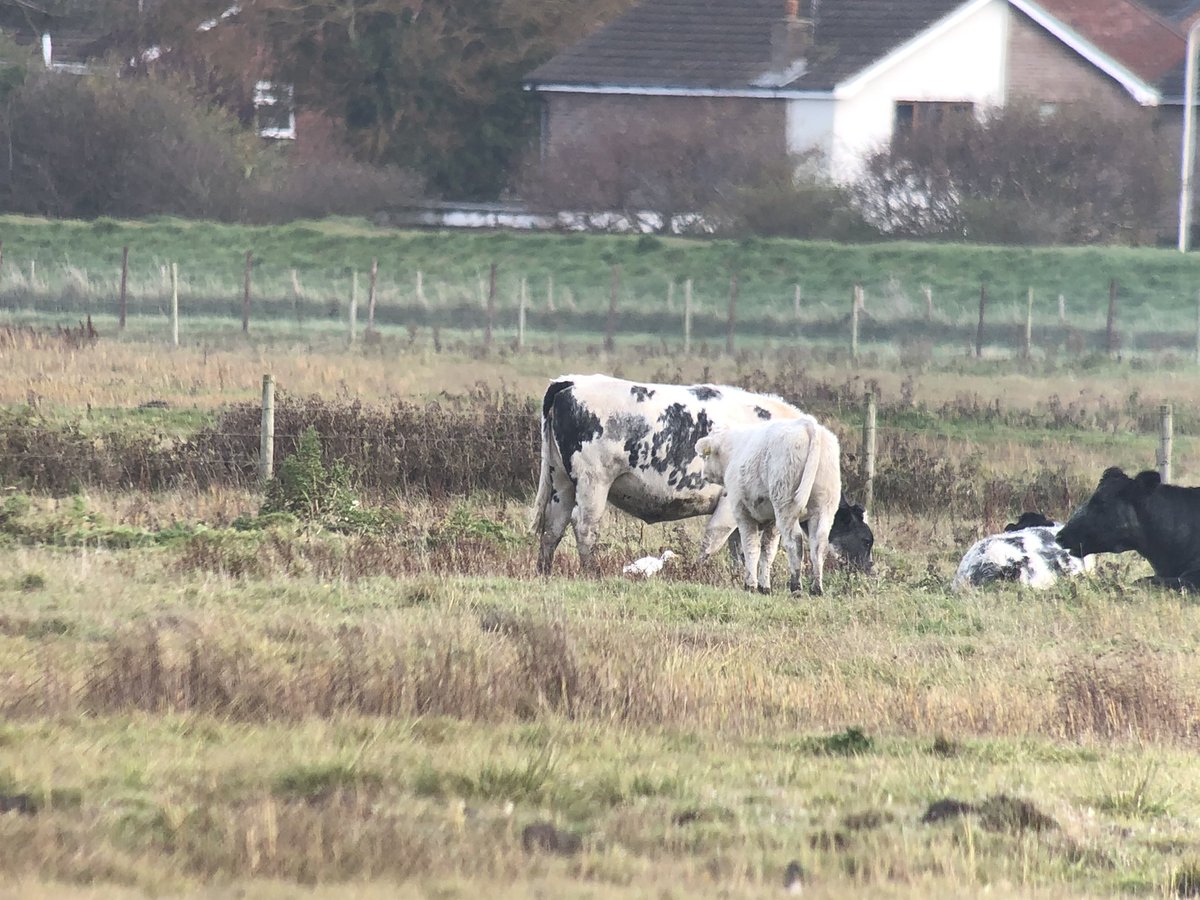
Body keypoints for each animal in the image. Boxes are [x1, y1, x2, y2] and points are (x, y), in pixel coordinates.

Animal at [532, 374, 874, 577]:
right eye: (866, 539)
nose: (871, 570)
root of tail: (569, 382)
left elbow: (741, 546)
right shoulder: (732, 504)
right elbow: (715, 541)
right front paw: (694, 573)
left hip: (561, 482)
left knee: (553, 528)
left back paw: (543, 570)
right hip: (593, 482)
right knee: (584, 526)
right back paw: (591, 571)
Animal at [695, 417, 842, 595]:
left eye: (705, 456)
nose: (703, 474)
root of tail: (806, 424)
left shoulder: (742, 513)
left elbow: (751, 547)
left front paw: (750, 584)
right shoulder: (772, 521)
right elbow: (768, 551)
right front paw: (764, 586)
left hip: (785, 504)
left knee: (794, 542)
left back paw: (796, 586)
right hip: (824, 507)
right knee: (818, 545)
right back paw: (816, 588)